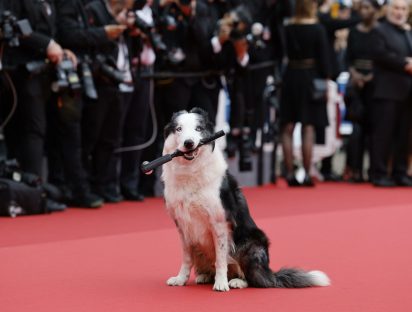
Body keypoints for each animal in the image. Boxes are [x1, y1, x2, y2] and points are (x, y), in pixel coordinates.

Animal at [161, 108, 328, 292]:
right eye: (179, 129)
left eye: (198, 129)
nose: (189, 143)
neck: (191, 170)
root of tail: (270, 273)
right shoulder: (183, 225)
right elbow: (186, 258)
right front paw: (180, 279)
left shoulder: (219, 222)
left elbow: (221, 259)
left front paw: (221, 283)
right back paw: (205, 276)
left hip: (251, 243)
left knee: (255, 279)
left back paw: (236, 281)